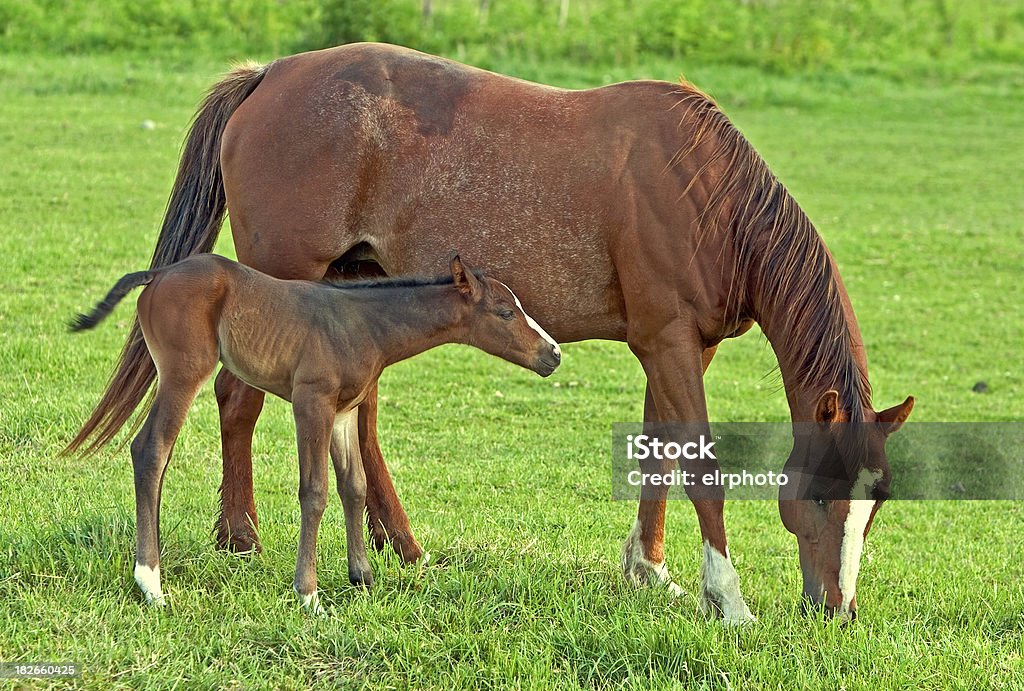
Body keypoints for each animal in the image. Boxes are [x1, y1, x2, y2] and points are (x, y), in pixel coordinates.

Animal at [72, 252, 565, 610]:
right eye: (505, 312)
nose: (554, 354)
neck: (364, 324)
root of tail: (157, 274)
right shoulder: (312, 404)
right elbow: (315, 490)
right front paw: (308, 593)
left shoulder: (344, 414)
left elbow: (354, 486)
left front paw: (362, 577)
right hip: (183, 371)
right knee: (151, 448)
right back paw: (151, 583)